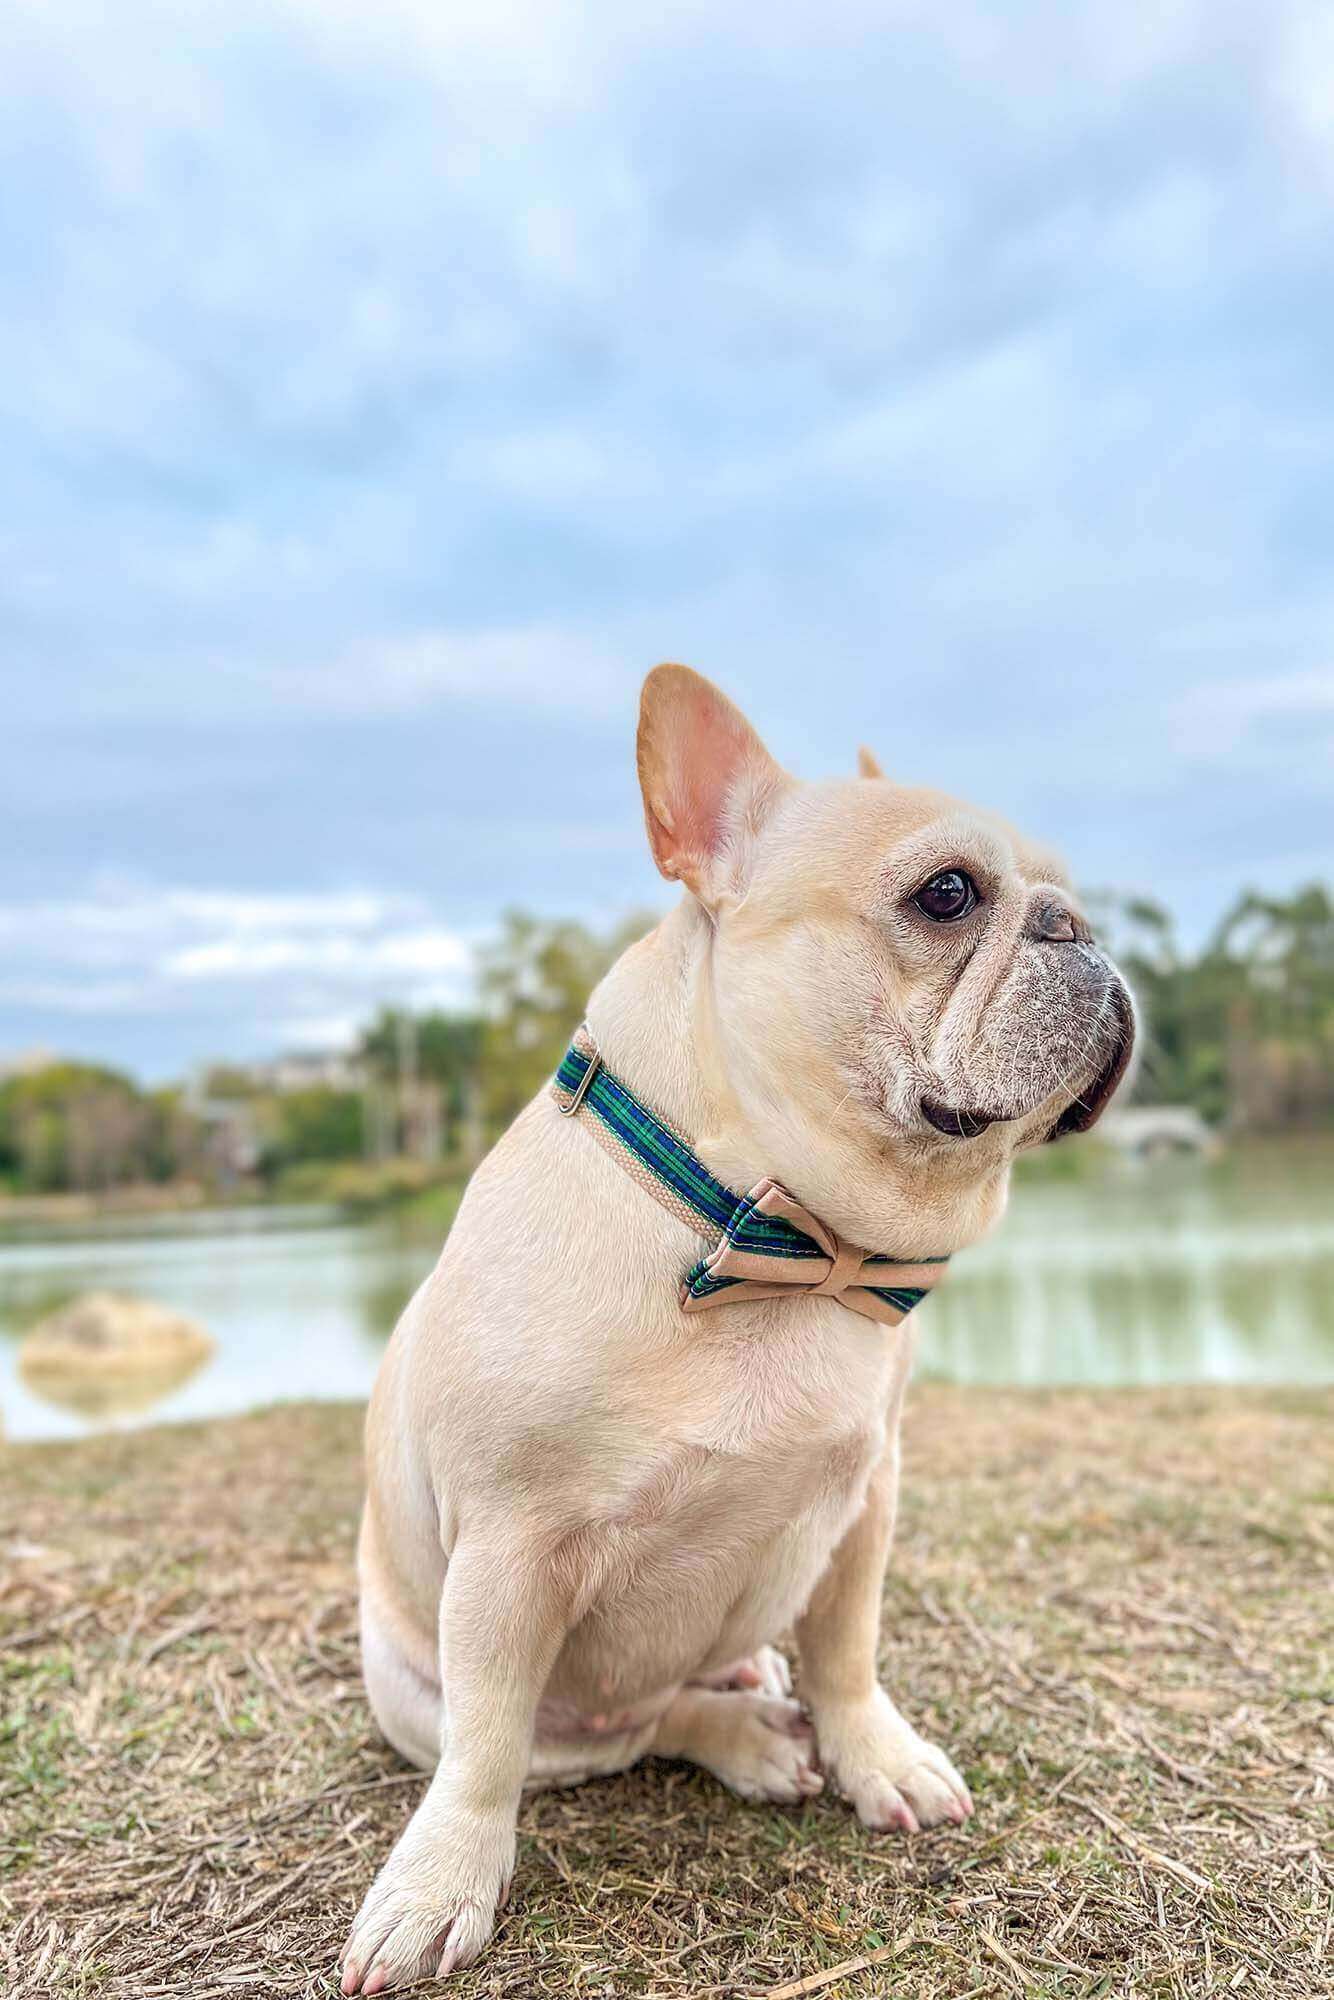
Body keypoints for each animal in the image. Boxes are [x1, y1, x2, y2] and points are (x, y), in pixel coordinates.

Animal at [340, 668, 1136, 1984]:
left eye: (1064, 889)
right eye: (947, 892)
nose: (1074, 924)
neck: (775, 1244)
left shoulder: (865, 1497)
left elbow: (848, 1651)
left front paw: (875, 1753)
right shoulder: (506, 1552)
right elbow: (486, 1746)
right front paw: (439, 1879)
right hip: (423, 1679)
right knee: (614, 1728)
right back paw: (747, 1735)